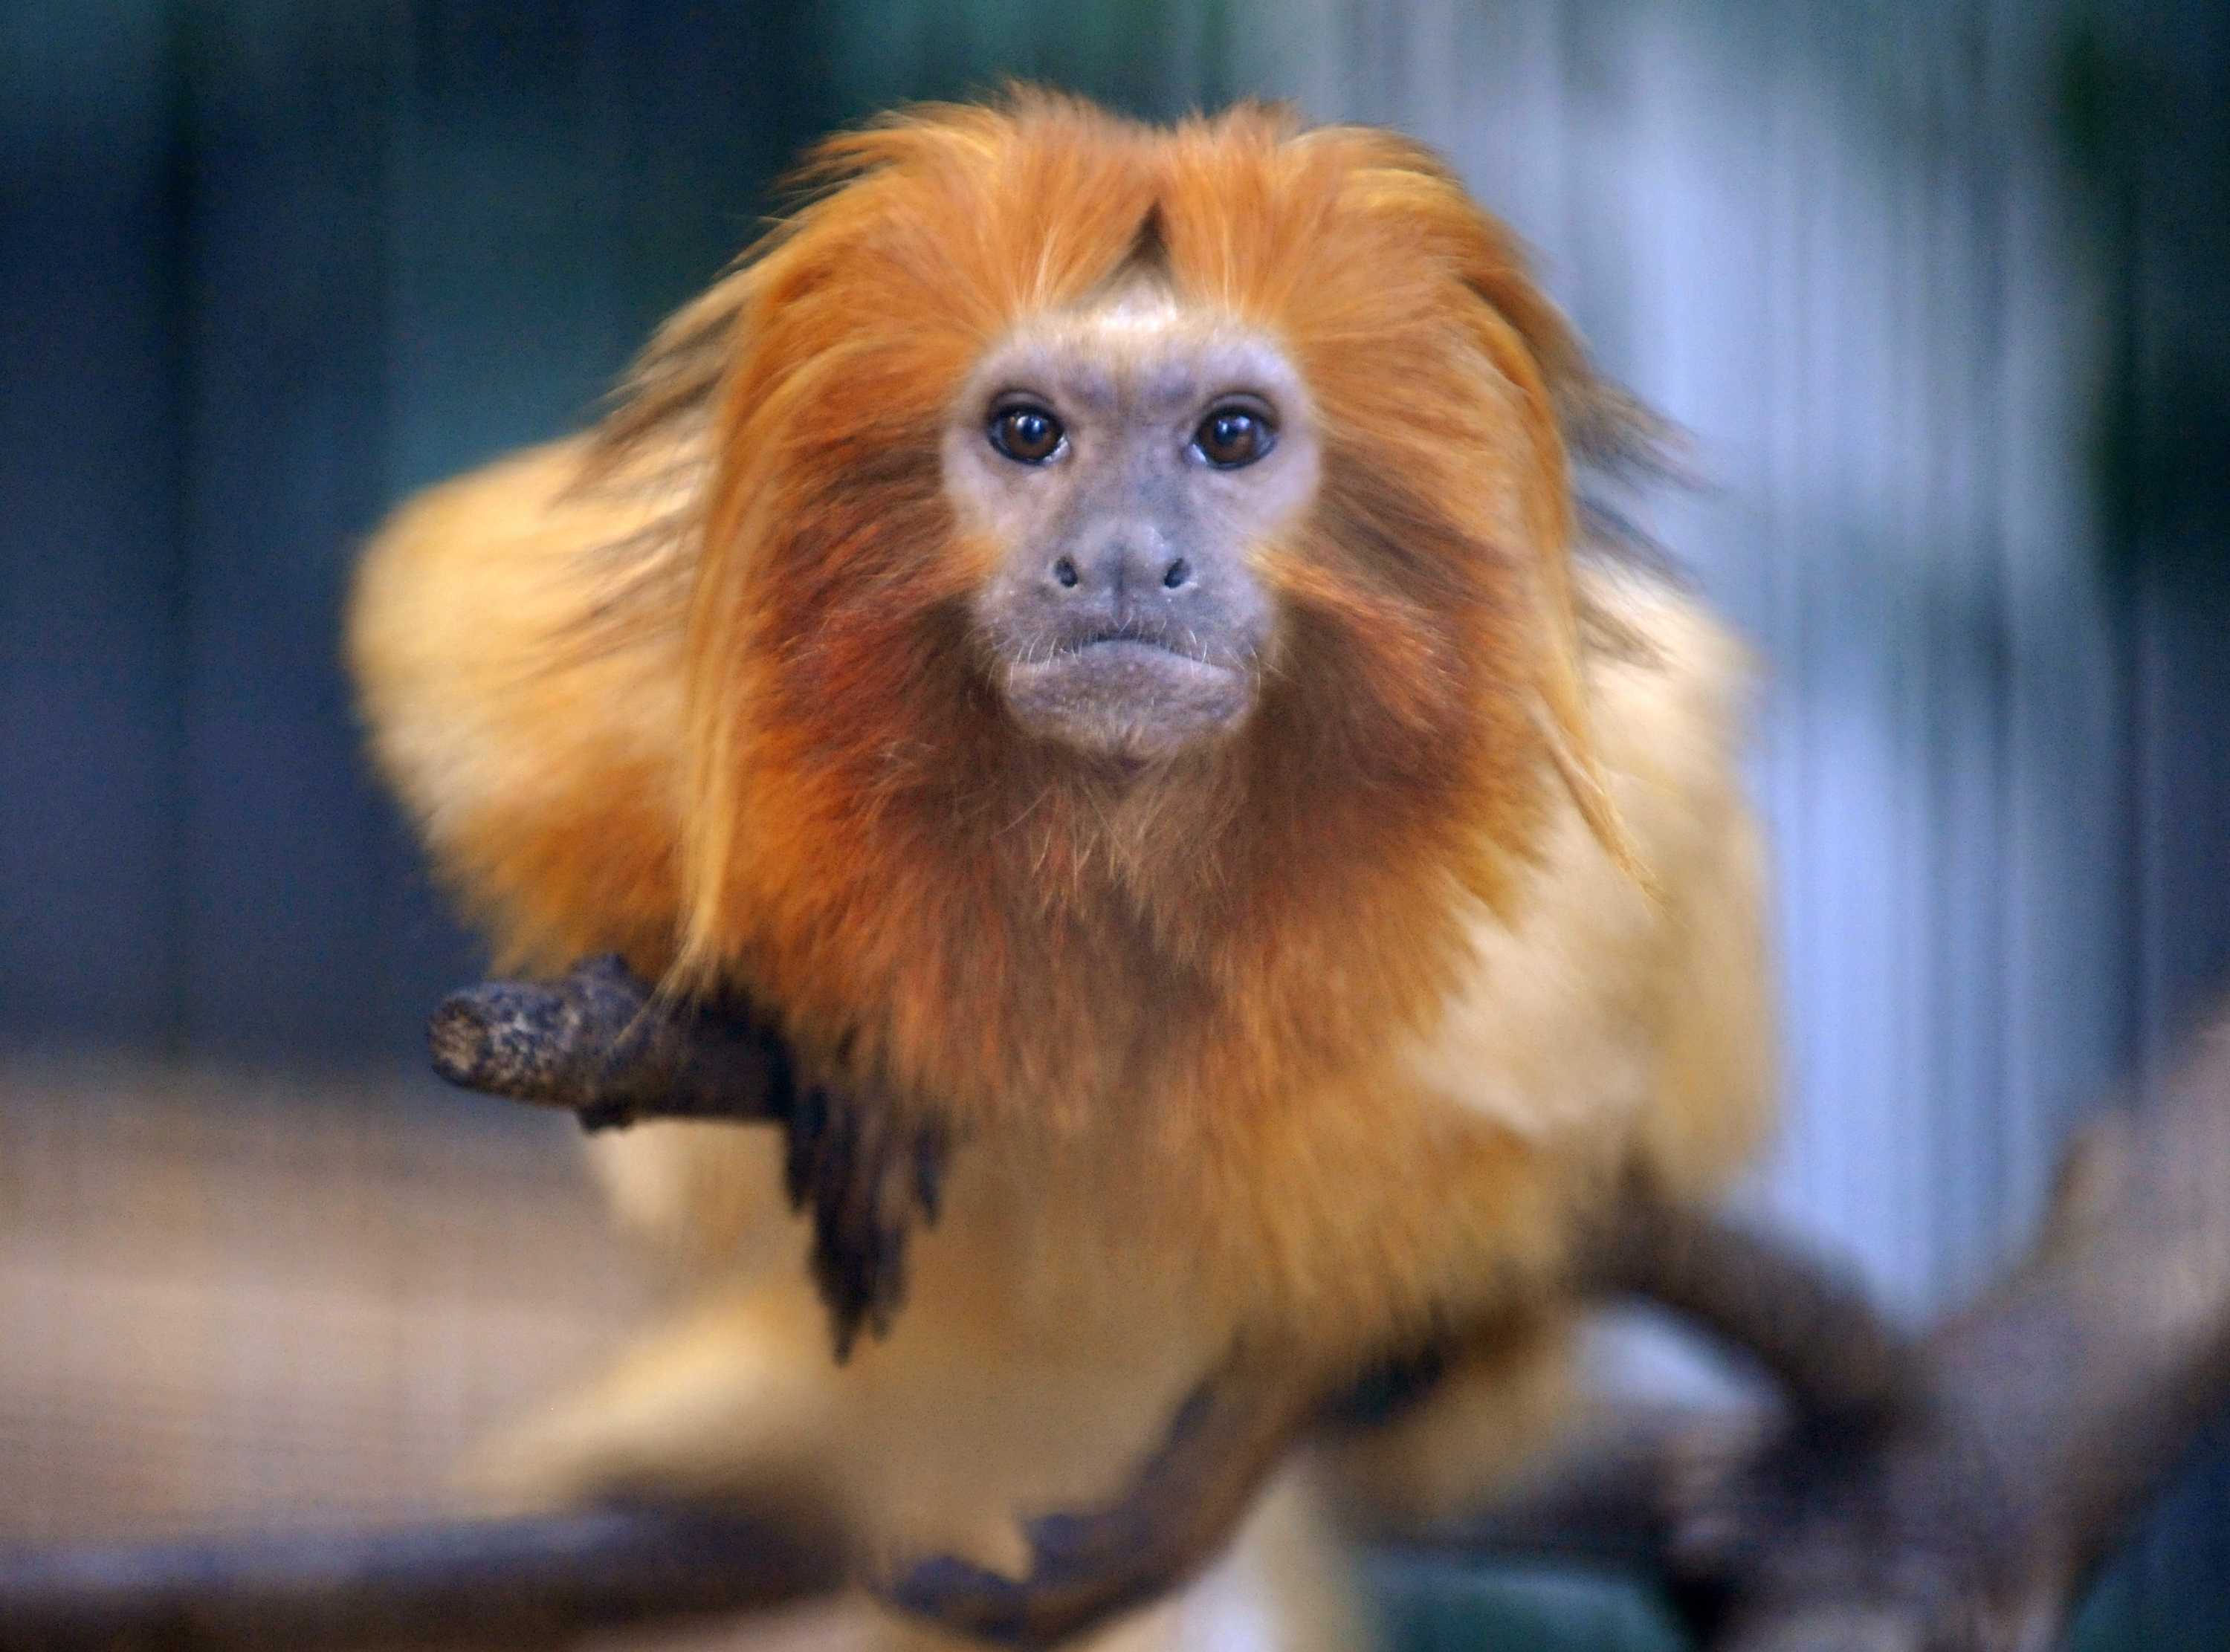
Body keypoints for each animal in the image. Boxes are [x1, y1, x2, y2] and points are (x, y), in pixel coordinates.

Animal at [347, 91, 1772, 1649]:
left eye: (1231, 437)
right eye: (1027, 434)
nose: (1129, 560)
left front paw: (1261, 1409)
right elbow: (459, 640)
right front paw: (847, 1035)